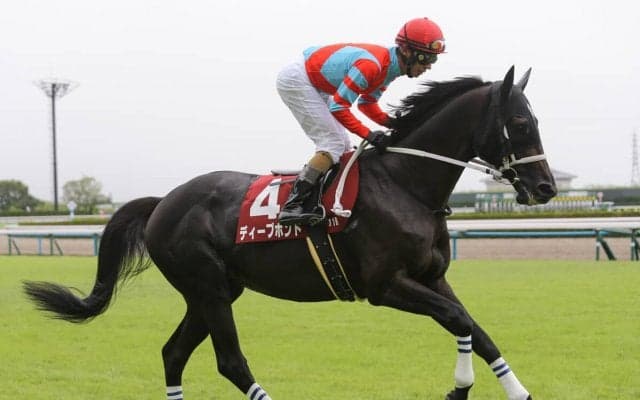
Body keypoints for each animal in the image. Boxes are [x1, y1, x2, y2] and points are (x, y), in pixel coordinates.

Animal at [23, 66, 556, 400]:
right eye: (519, 122)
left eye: (534, 119)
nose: (546, 188)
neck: (405, 184)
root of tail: (162, 202)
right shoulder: (385, 286)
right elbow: (459, 320)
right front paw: (459, 389)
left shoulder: (432, 277)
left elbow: (474, 328)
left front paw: (515, 390)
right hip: (207, 286)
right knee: (230, 361)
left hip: (214, 291)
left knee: (173, 354)